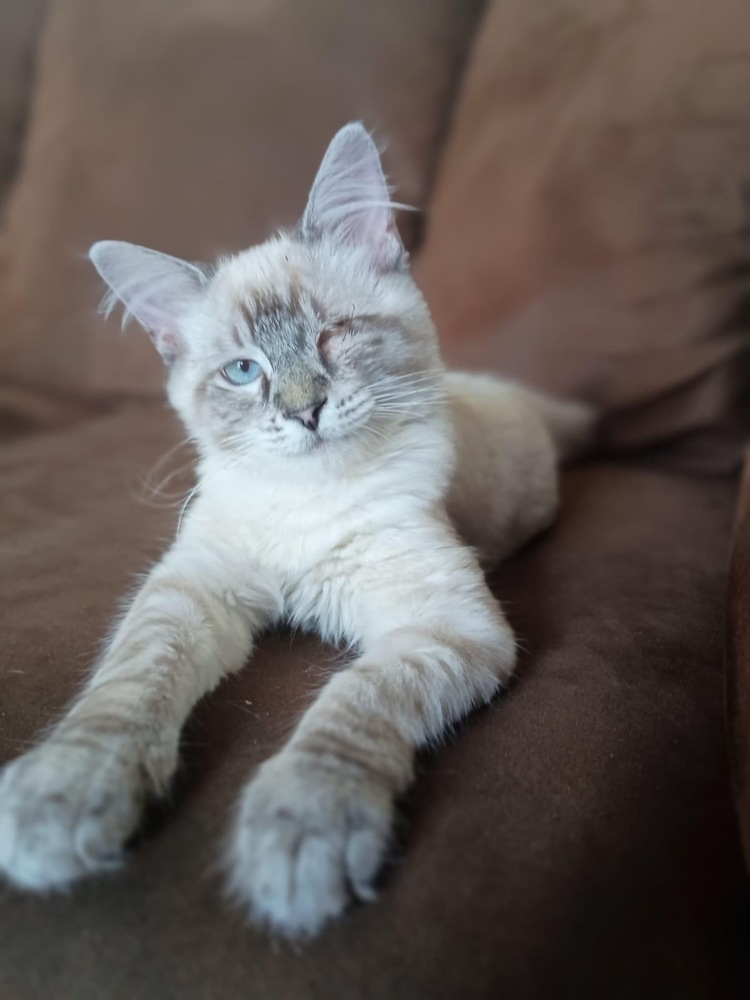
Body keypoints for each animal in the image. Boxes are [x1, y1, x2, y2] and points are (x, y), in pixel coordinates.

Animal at [0, 125, 592, 936]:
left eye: (332, 336)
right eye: (243, 372)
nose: (305, 410)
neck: (308, 503)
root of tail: (505, 389)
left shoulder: (441, 626)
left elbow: (352, 706)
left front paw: (303, 832)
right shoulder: (192, 593)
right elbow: (127, 688)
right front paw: (66, 794)